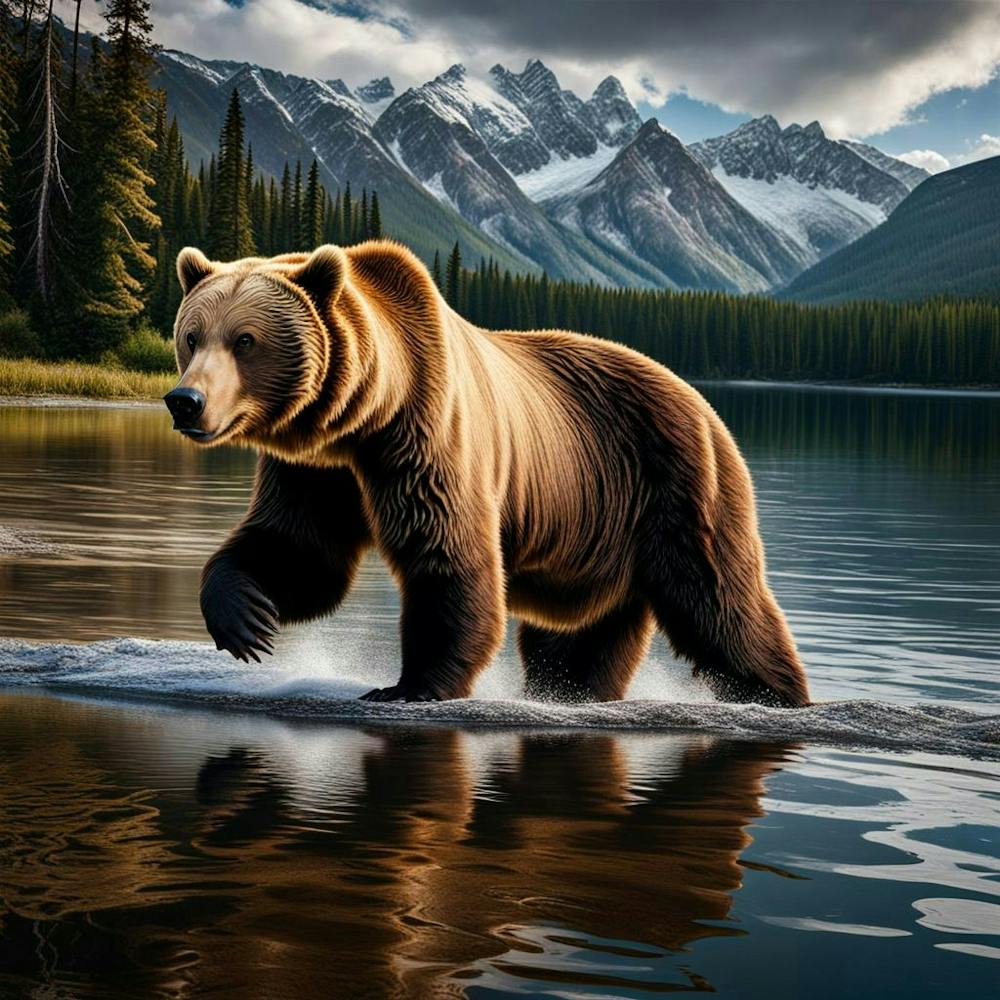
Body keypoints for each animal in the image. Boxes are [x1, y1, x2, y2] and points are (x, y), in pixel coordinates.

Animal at [164, 240, 811, 707]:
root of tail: (703, 403)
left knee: (720, 603)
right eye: (191, 335)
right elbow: (300, 550)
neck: (364, 418)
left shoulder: (426, 439)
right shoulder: (316, 472)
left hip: (679, 484)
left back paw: (777, 694)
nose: (185, 400)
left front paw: (411, 685)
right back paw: (570, 694)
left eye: (246, 340)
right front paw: (246, 617)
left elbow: (446, 557)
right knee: (580, 640)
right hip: (593, 538)